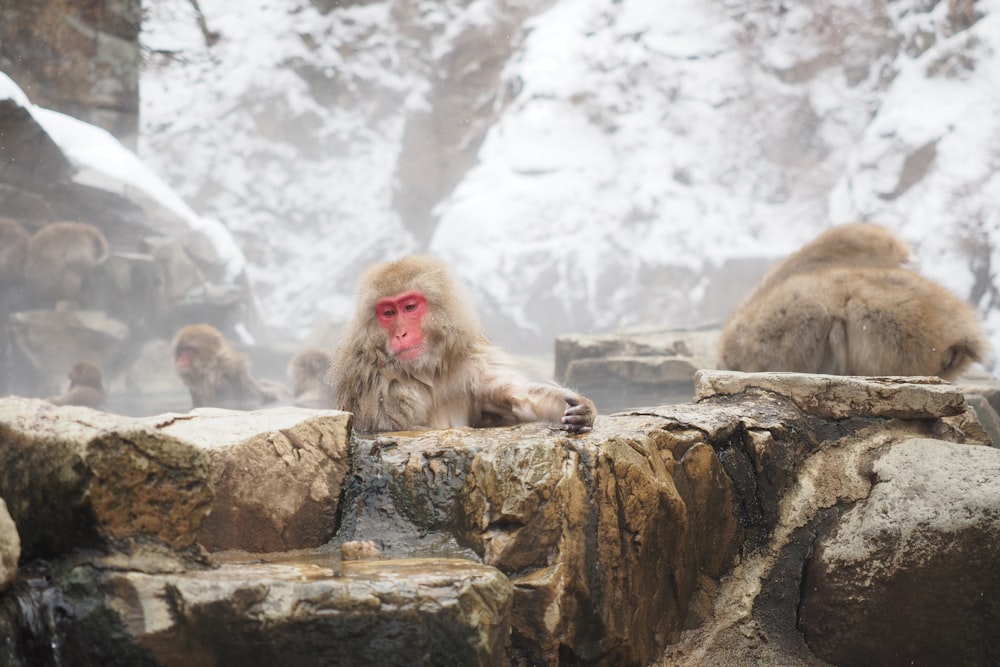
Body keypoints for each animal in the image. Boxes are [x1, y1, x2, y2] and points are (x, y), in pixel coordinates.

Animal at [328, 254, 596, 434]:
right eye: (388, 313)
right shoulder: (378, 387)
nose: (401, 334)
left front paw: (580, 410)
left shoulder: (469, 365)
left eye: (409, 307)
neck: (427, 372)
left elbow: (517, 398)